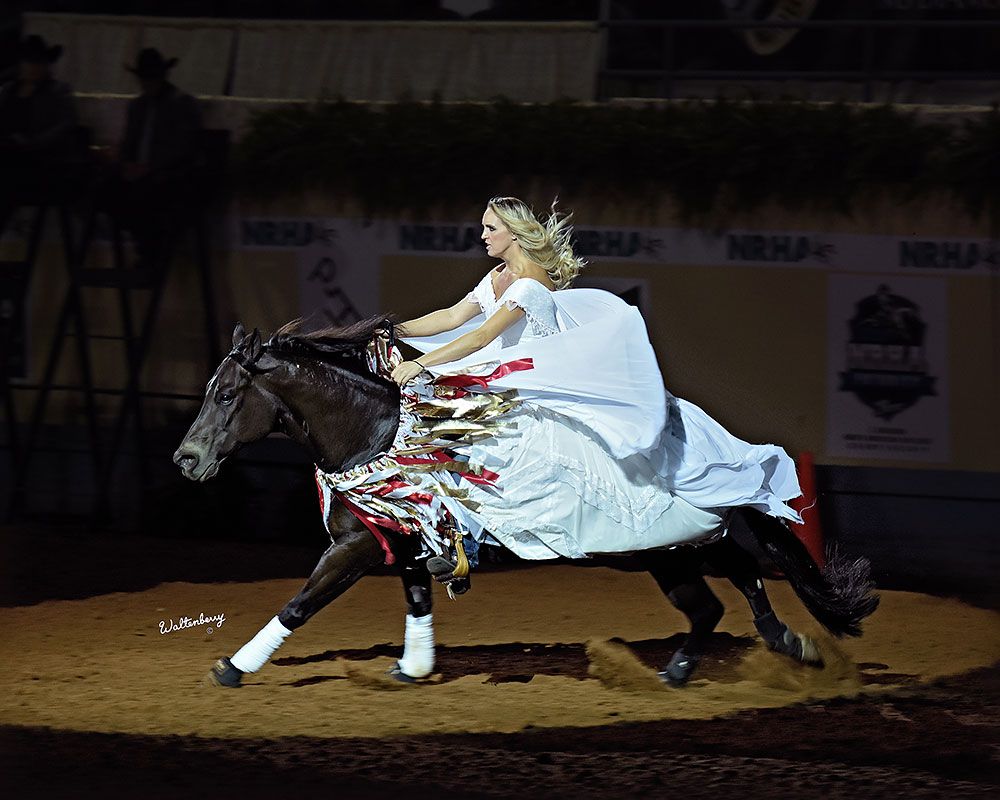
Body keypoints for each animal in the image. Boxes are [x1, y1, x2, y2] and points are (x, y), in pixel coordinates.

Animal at [176, 324, 880, 688]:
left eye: (228, 392)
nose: (185, 459)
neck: (377, 433)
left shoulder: (353, 547)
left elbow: (301, 602)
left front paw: (231, 668)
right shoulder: (403, 540)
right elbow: (418, 598)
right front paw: (415, 666)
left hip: (677, 542)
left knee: (740, 569)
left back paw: (765, 648)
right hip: (668, 554)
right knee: (720, 592)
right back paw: (720, 658)